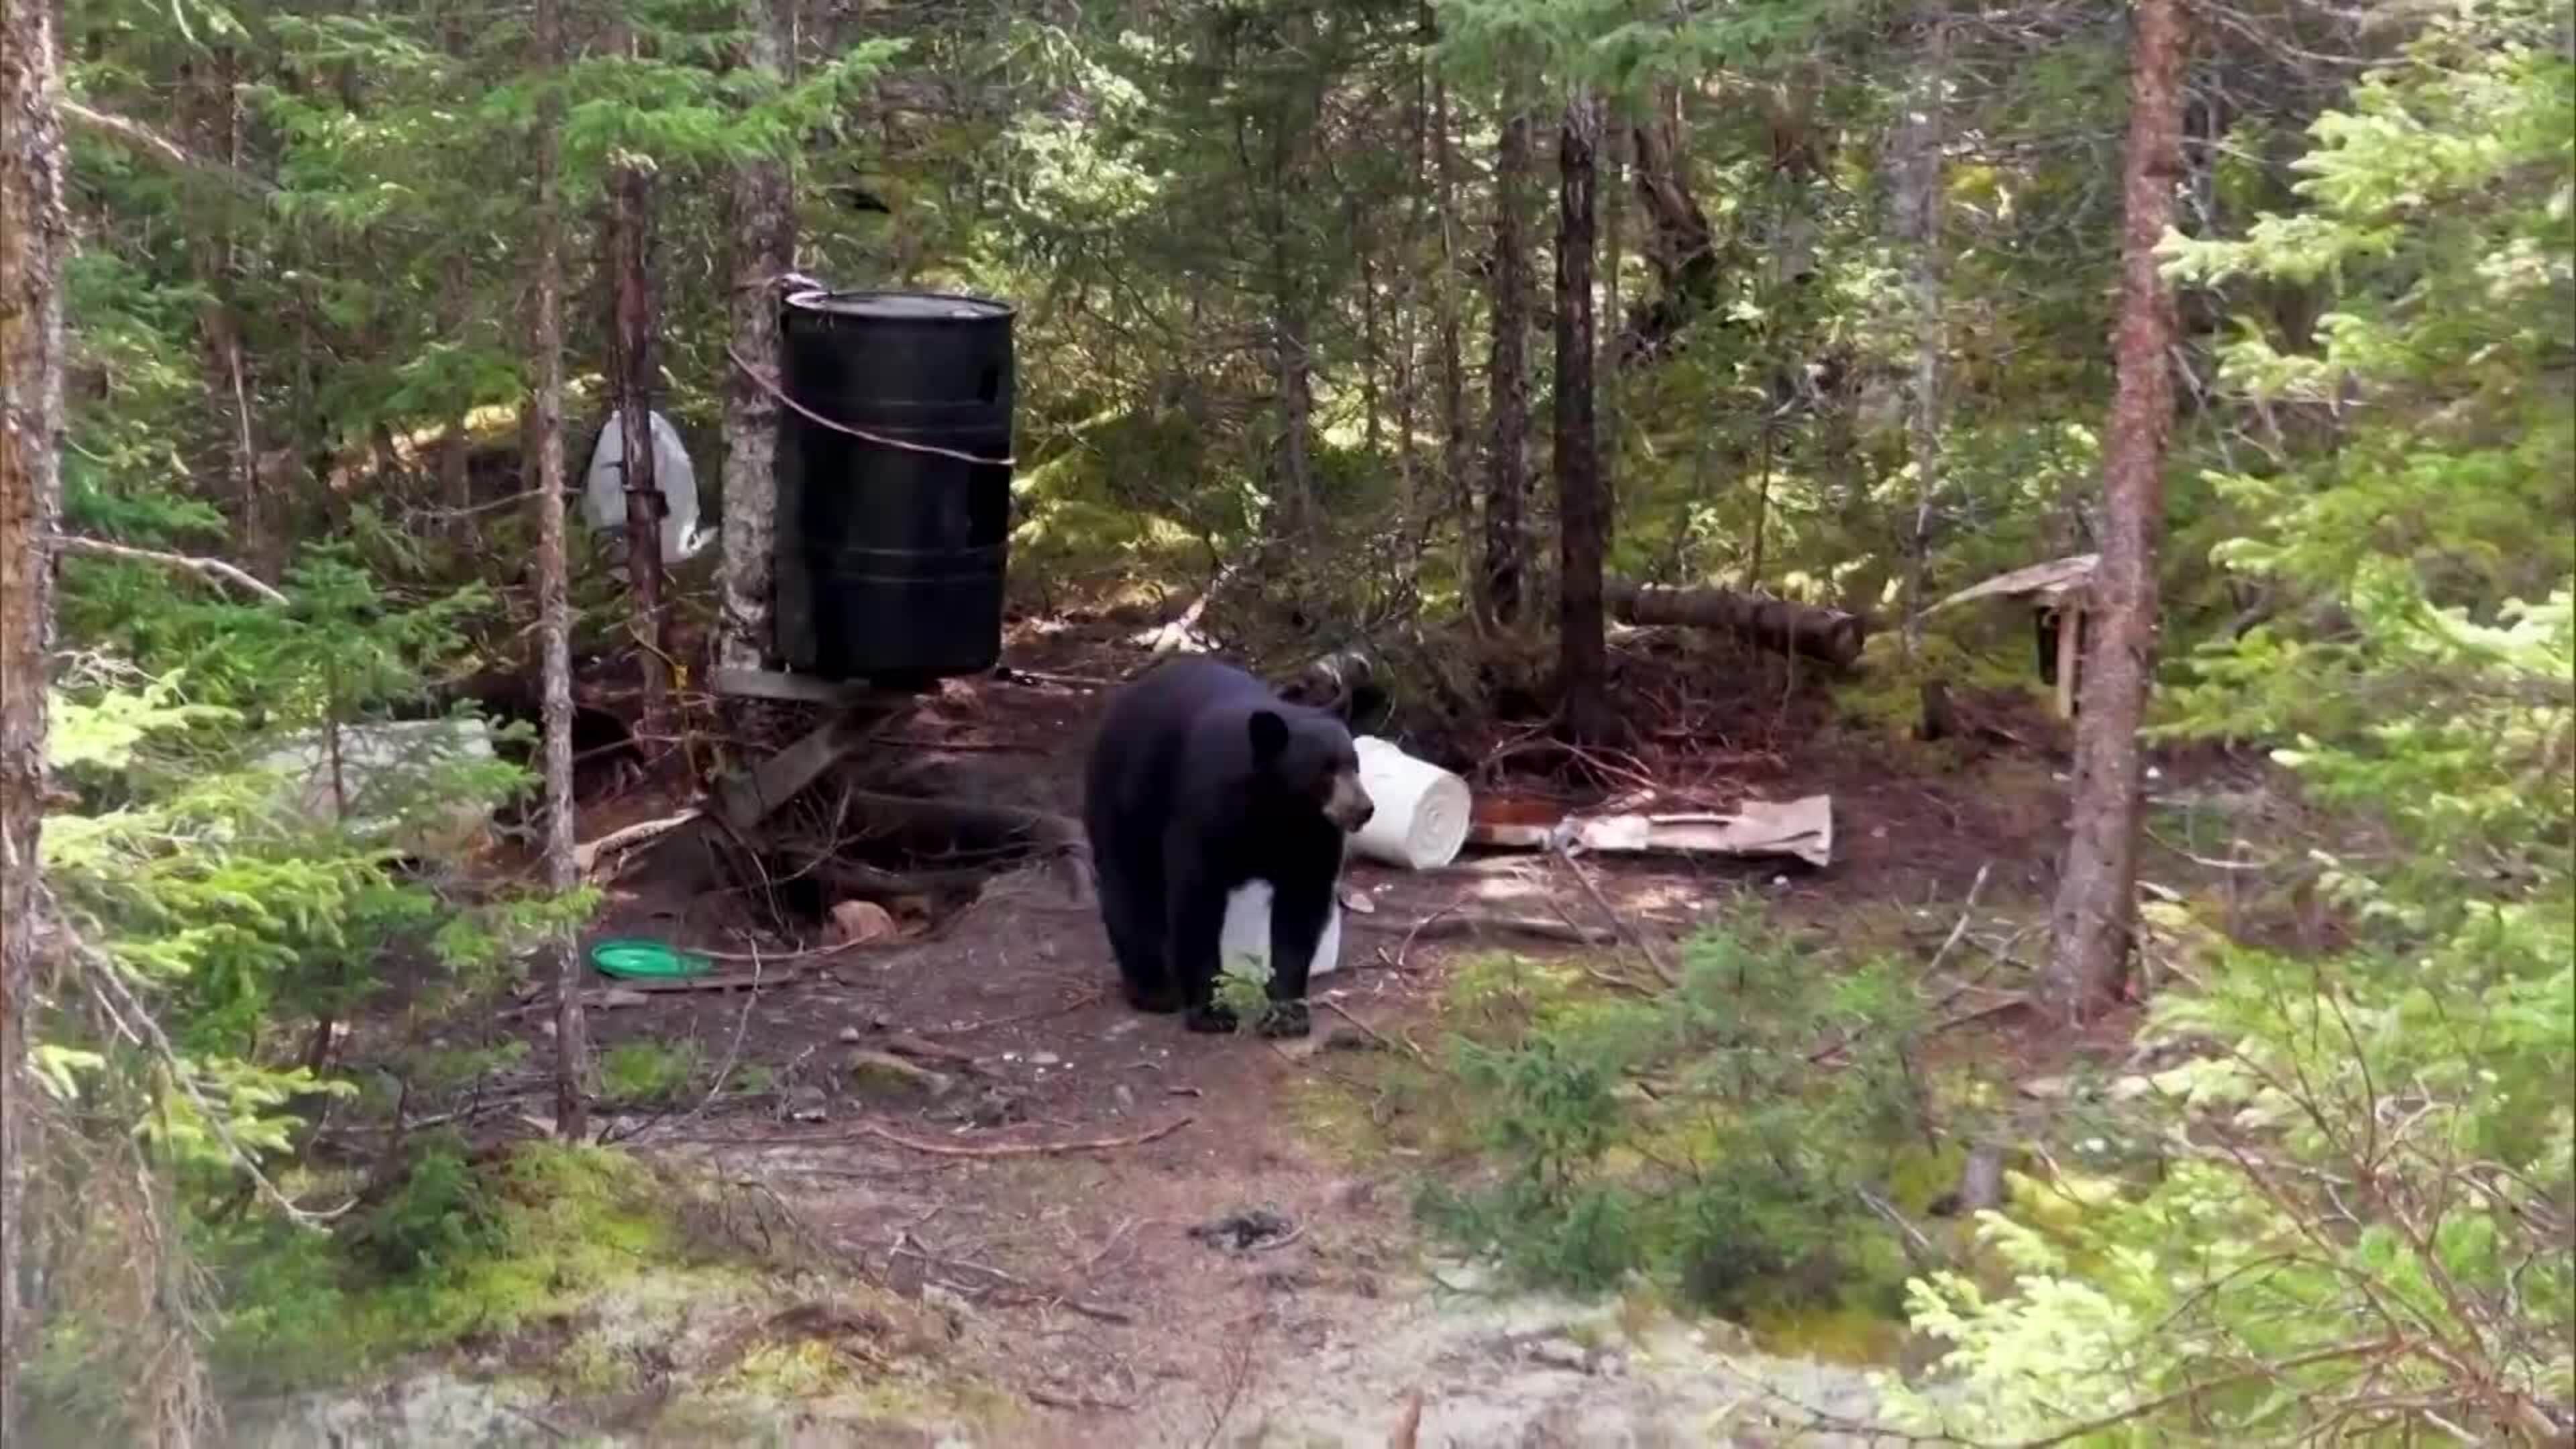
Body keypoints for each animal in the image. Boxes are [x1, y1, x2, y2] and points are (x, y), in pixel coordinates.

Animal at [1081, 657, 1375, 1037]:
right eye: (1324, 772)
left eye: (1355, 764)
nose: (1364, 808)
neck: (1278, 811)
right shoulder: (1205, 817)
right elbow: (1197, 902)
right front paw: (1211, 1012)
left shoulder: (1314, 838)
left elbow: (1300, 911)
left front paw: (1287, 1013)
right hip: (1125, 800)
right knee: (1129, 886)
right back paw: (1152, 990)